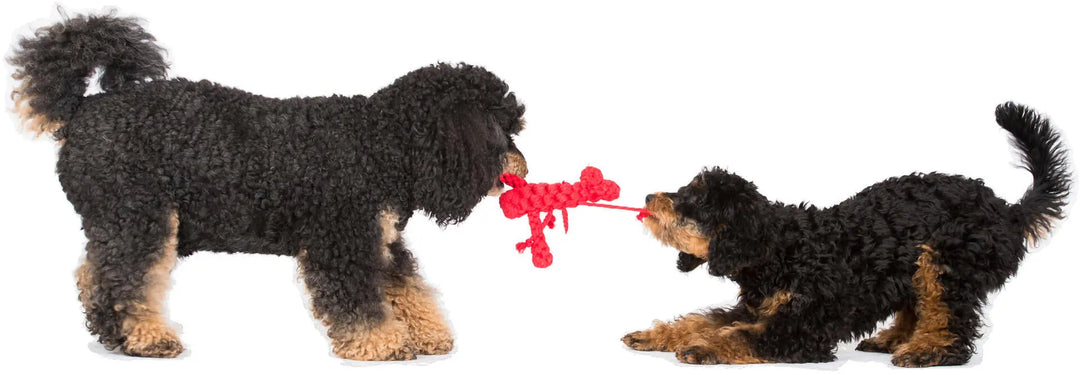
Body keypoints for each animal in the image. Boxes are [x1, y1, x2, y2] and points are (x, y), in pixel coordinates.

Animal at [9, 13, 531, 360]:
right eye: (503, 131)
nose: (522, 169)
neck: (381, 142)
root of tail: (81, 110)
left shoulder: (380, 239)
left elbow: (408, 288)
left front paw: (428, 334)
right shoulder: (343, 240)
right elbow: (361, 300)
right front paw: (381, 343)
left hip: (120, 221)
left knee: (93, 274)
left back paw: (112, 335)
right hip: (140, 218)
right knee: (126, 279)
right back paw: (147, 337)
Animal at [630, 102, 1067, 367]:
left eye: (694, 203)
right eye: (684, 190)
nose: (649, 197)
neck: (782, 249)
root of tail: (1007, 211)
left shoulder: (802, 328)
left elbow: (743, 336)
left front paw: (703, 347)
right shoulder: (757, 307)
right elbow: (703, 319)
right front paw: (655, 335)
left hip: (945, 262)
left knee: (950, 322)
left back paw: (927, 350)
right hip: (916, 266)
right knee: (919, 307)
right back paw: (893, 339)